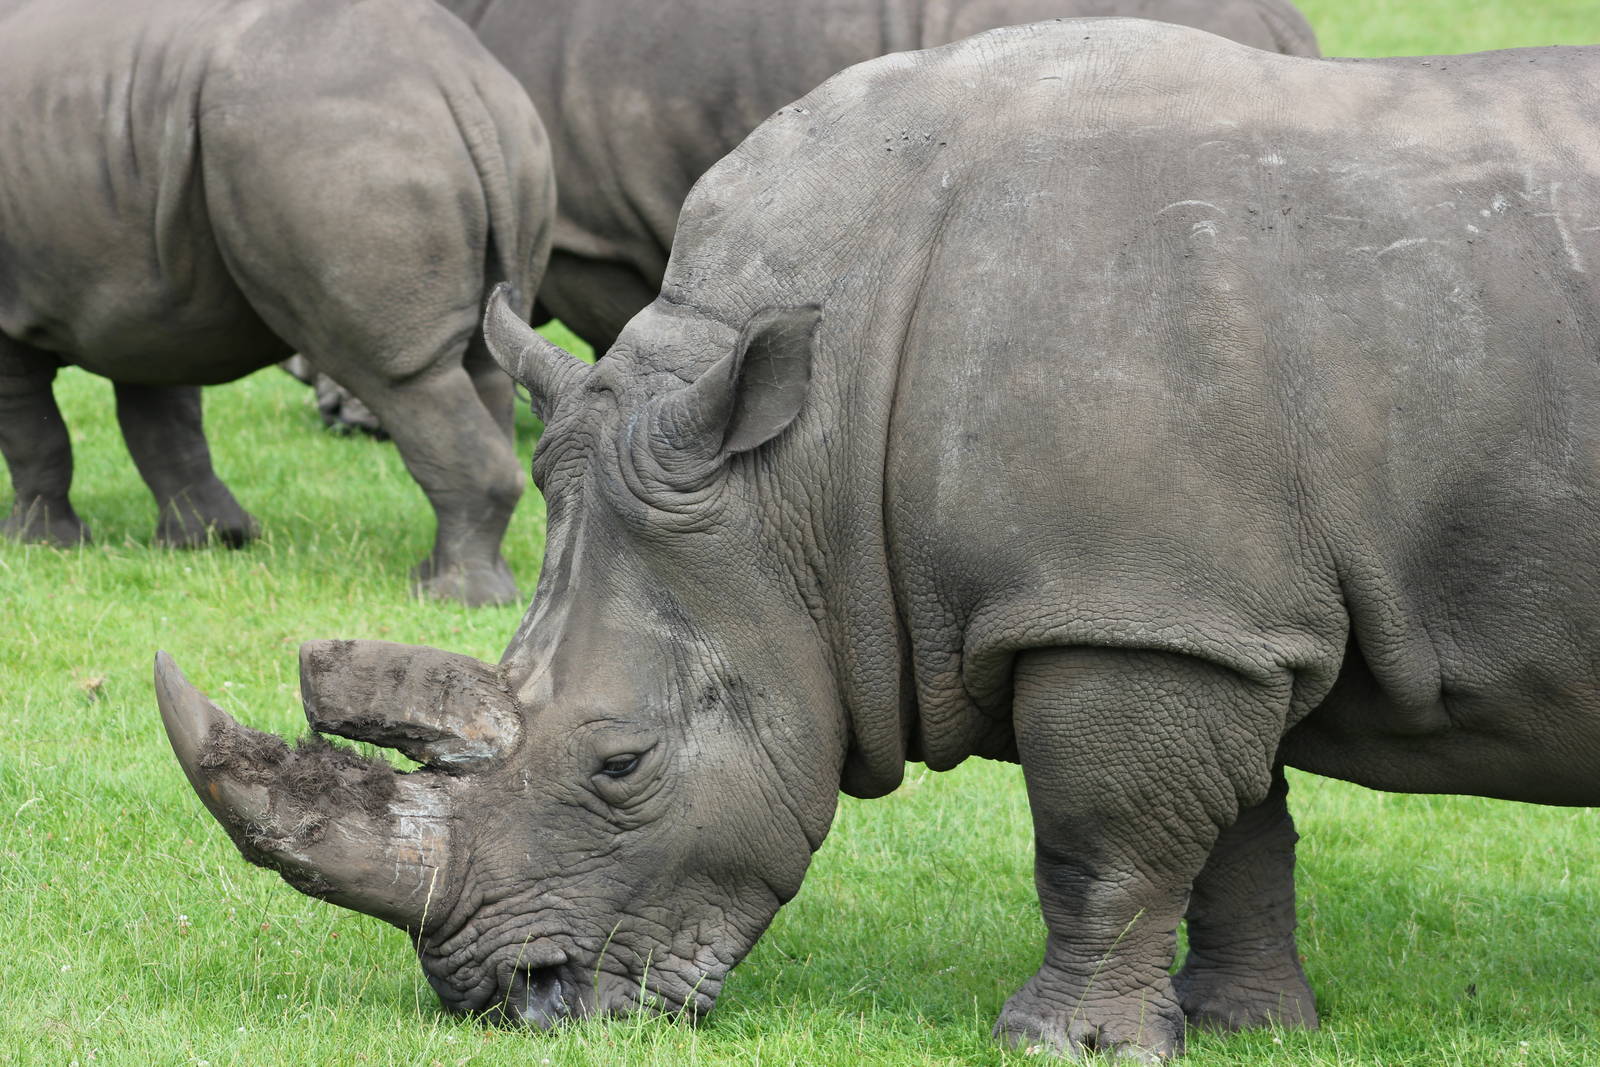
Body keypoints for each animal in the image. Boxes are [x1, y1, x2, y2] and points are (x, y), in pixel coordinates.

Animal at [0, 0, 554, 605]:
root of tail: (457, 78)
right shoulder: (144, 291)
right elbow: (163, 420)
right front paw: (211, 540)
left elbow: (33, 432)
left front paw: (37, 544)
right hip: (508, 137)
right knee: (485, 366)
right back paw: (469, 586)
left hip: (330, 147)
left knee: (406, 378)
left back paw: (448, 595)